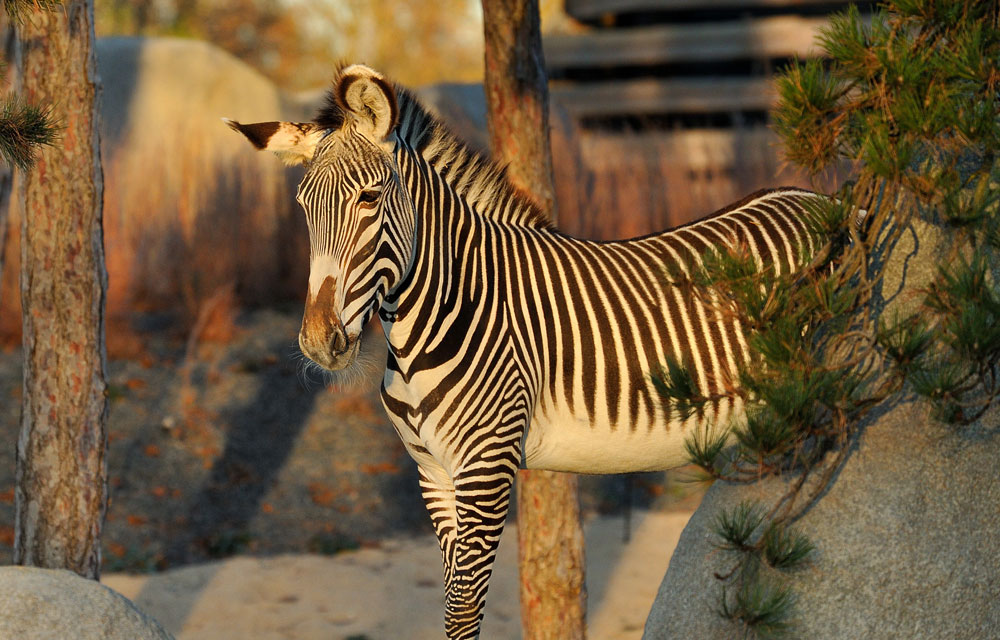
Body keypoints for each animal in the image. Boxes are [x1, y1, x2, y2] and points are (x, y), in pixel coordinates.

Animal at [227, 65, 836, 640]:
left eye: (369, 199)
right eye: (304, 207)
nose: (318, 342)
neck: (434, 317)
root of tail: (816, 198)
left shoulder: (486, 466)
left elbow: (463, 610)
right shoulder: (434, 473)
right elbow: (453, 605)